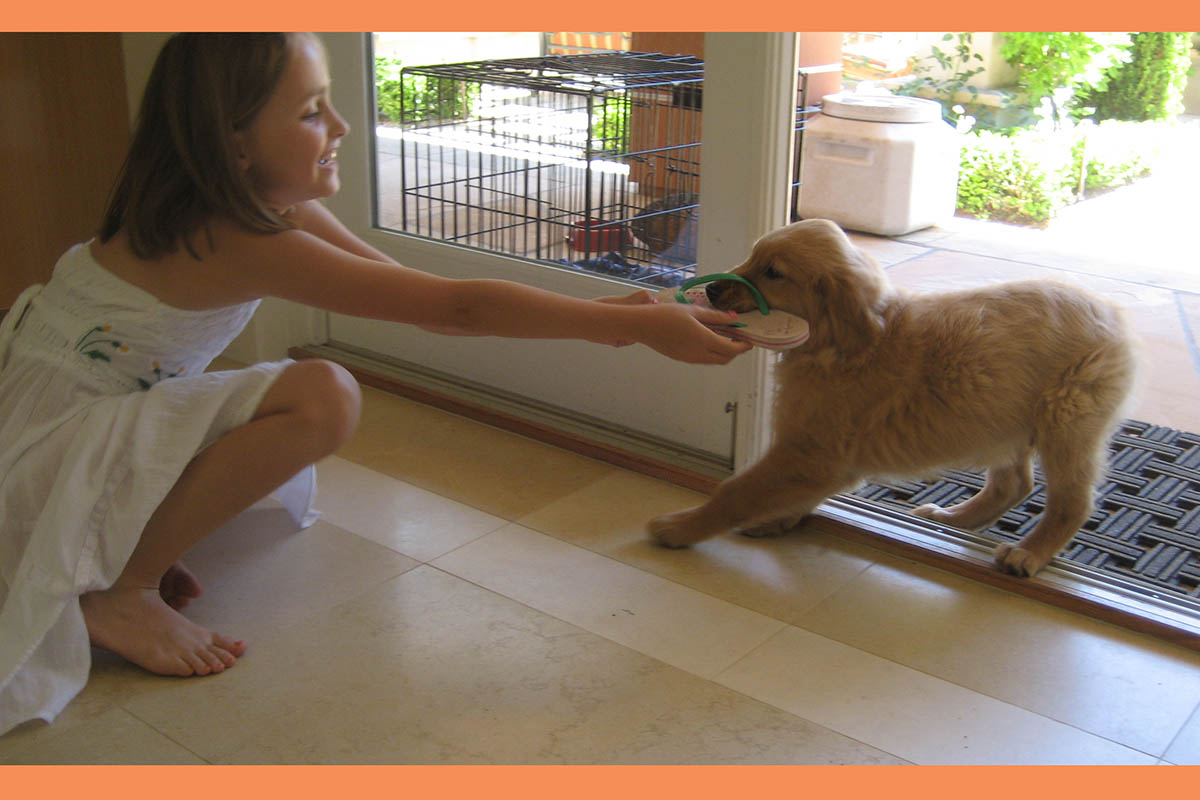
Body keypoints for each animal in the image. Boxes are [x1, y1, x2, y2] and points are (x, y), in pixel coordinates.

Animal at [652, 219, 1137, 578]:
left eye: (774, 272)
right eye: (753, 257)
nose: (712, 291)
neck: (841, 345)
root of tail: (1110, 312)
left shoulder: (811, 449)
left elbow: (736, 491)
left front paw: (680, 527)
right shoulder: (826, 454)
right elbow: (800, 491)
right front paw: (778, 519)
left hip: (1067, 416)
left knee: (1073, 500)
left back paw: (1030, 553)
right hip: (1002, 416)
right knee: (1013, 483)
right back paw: (950, 519)